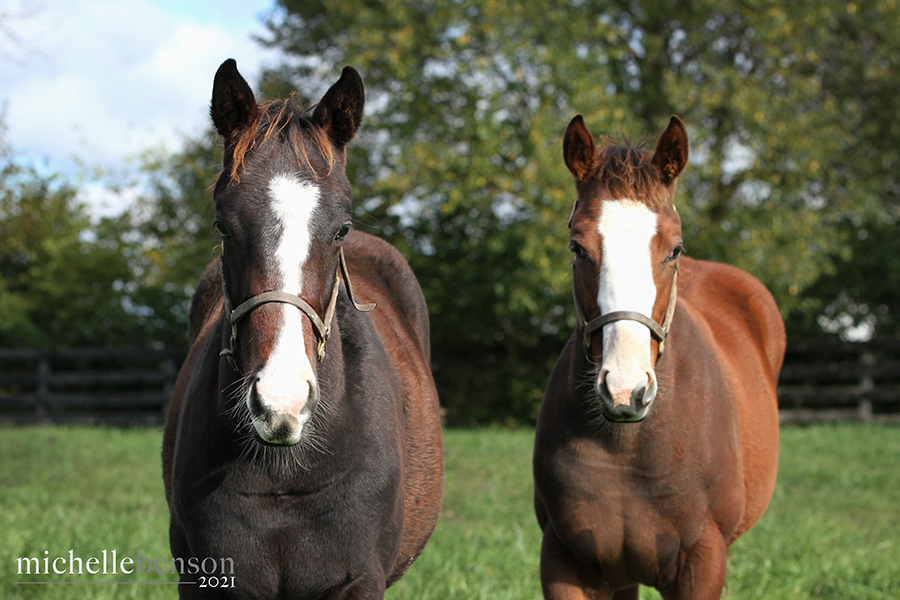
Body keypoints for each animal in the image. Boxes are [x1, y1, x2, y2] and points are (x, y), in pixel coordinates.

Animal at [533, 114, 785, 600]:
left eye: (674, 249)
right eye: (577, 247)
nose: (625, 389)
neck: (627, 447)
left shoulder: (703, 562)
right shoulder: (563, 560)